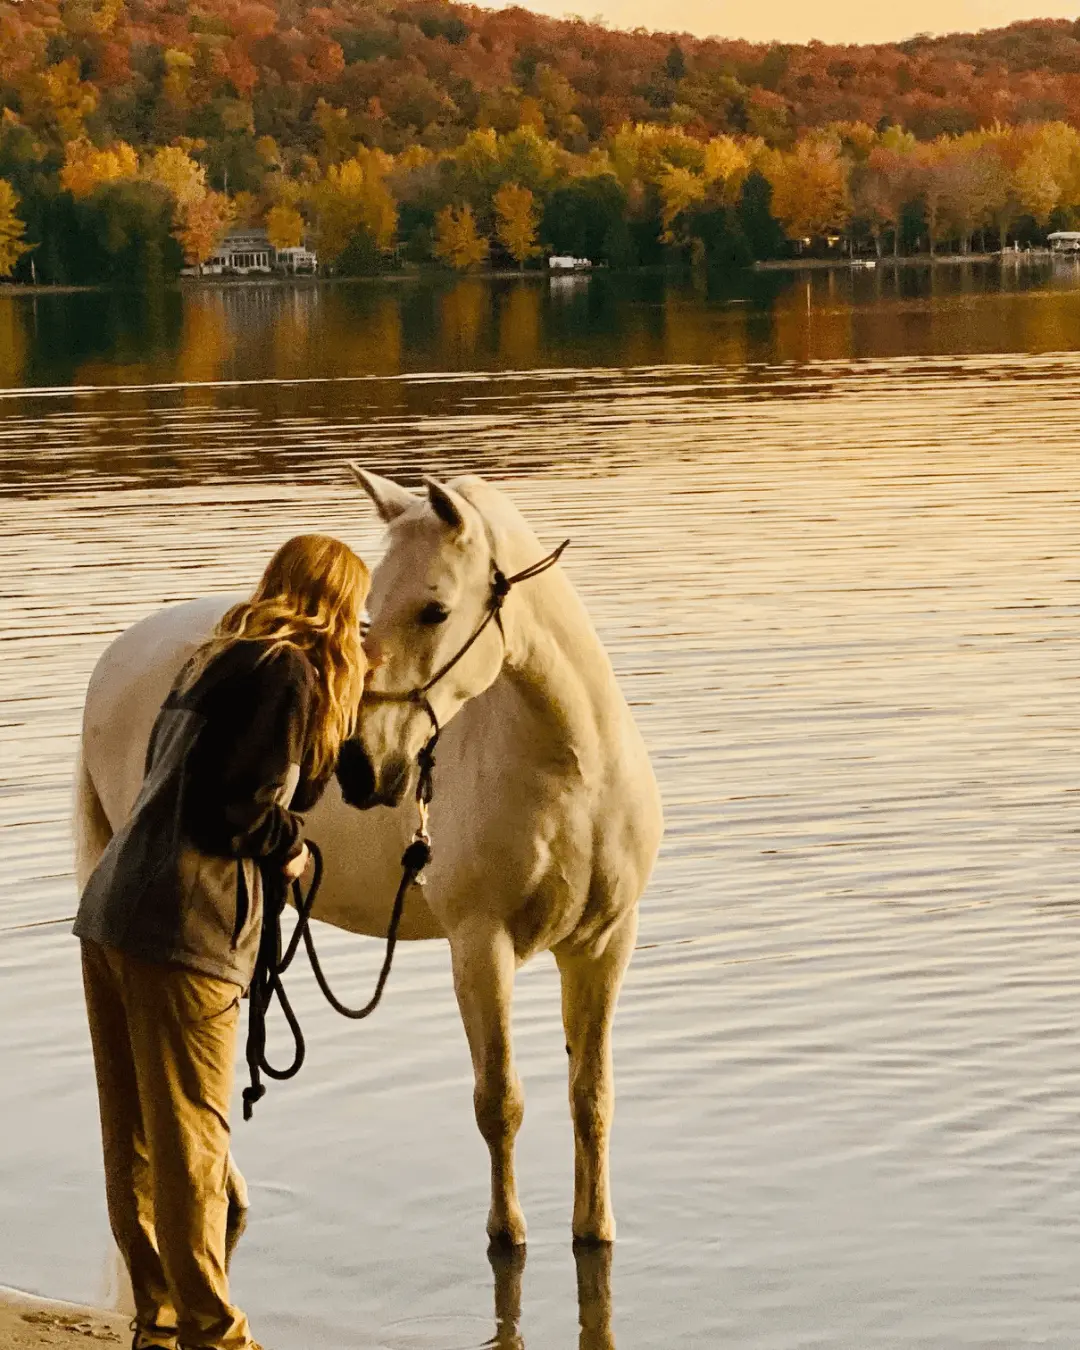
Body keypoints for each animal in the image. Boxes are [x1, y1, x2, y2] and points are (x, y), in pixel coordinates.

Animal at [74, 468, 663, 1248]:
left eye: (434, 609)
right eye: (370, 612)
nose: (361, 768)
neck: (574, 775)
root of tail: (118, 658)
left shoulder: (604, 944)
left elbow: (591, 1096)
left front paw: (595, 1230)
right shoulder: (481, 946)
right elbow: (499, 1101)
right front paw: (506, 1233)